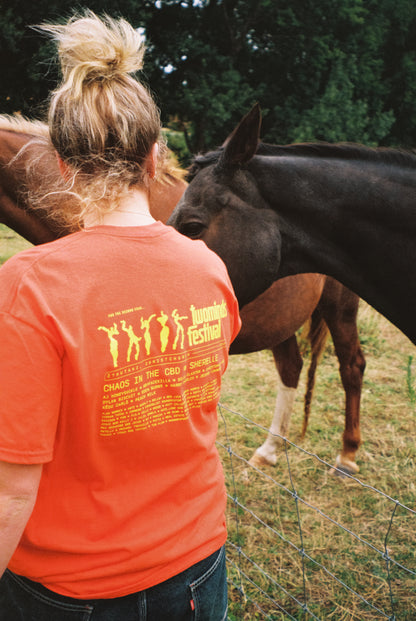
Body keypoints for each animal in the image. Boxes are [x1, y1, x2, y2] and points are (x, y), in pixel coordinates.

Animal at [0, 114, 364, 472]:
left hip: (340, 310)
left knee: (352, 366)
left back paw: (346, 456)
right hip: (282, 322)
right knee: (291, 367)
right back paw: (269, 451)